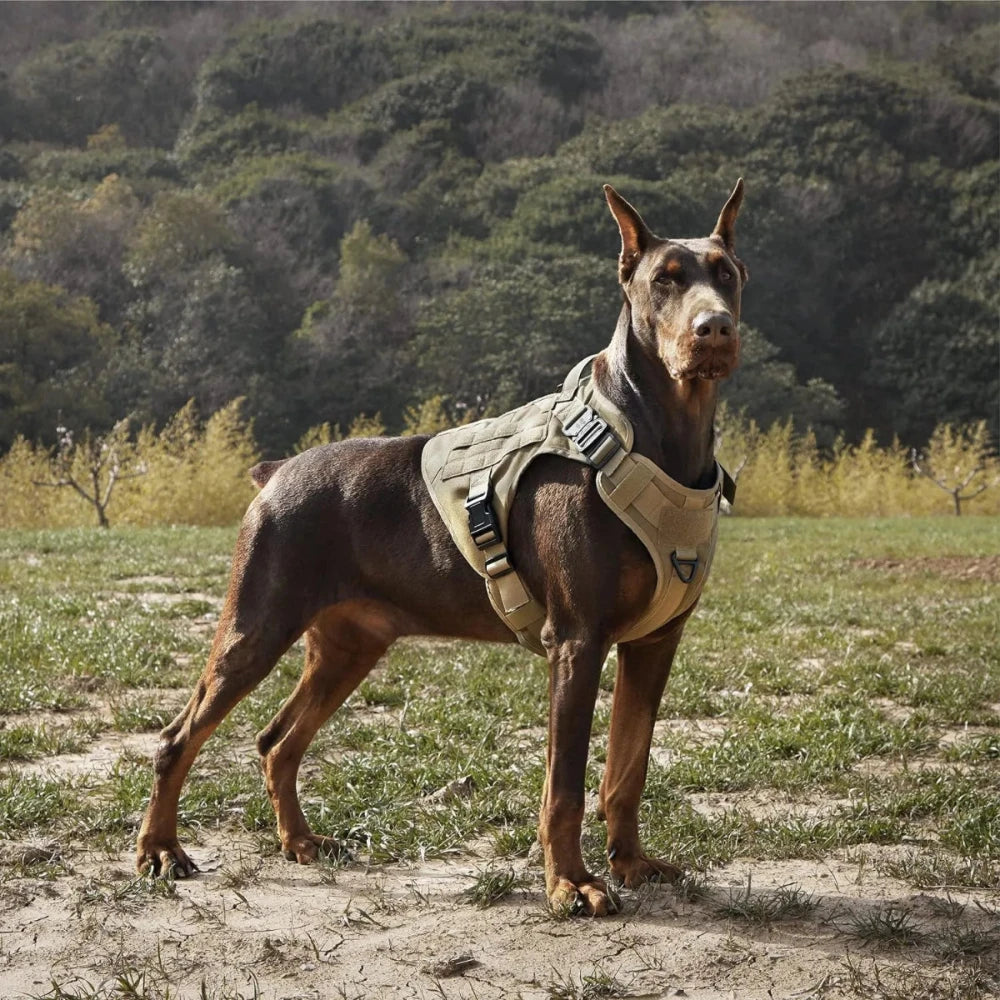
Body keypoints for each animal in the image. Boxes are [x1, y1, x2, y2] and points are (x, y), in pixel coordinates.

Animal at [133, 184, 748, 916]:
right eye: (665, 280)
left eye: (727, 275)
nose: (714, 329)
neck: (656, 434)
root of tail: (277, 473)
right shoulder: (577, 638)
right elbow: (565, 784)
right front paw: (570, 884)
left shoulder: (655, 641)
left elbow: (628, 765)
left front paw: (629, 862)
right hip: (256, 622)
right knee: (178, 738)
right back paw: (160, 850)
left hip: (349, 644)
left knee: (277, 740)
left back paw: (301, 841)